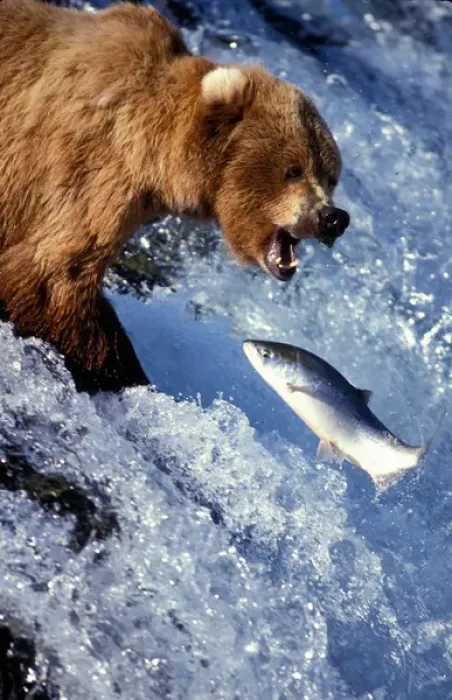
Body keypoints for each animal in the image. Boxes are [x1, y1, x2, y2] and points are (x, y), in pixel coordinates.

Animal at [0, 0, 350, 393]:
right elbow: (53, 275)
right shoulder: (90, 163)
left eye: (331, 176)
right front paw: (126, 374)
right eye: (293, 169)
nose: (333, 218)